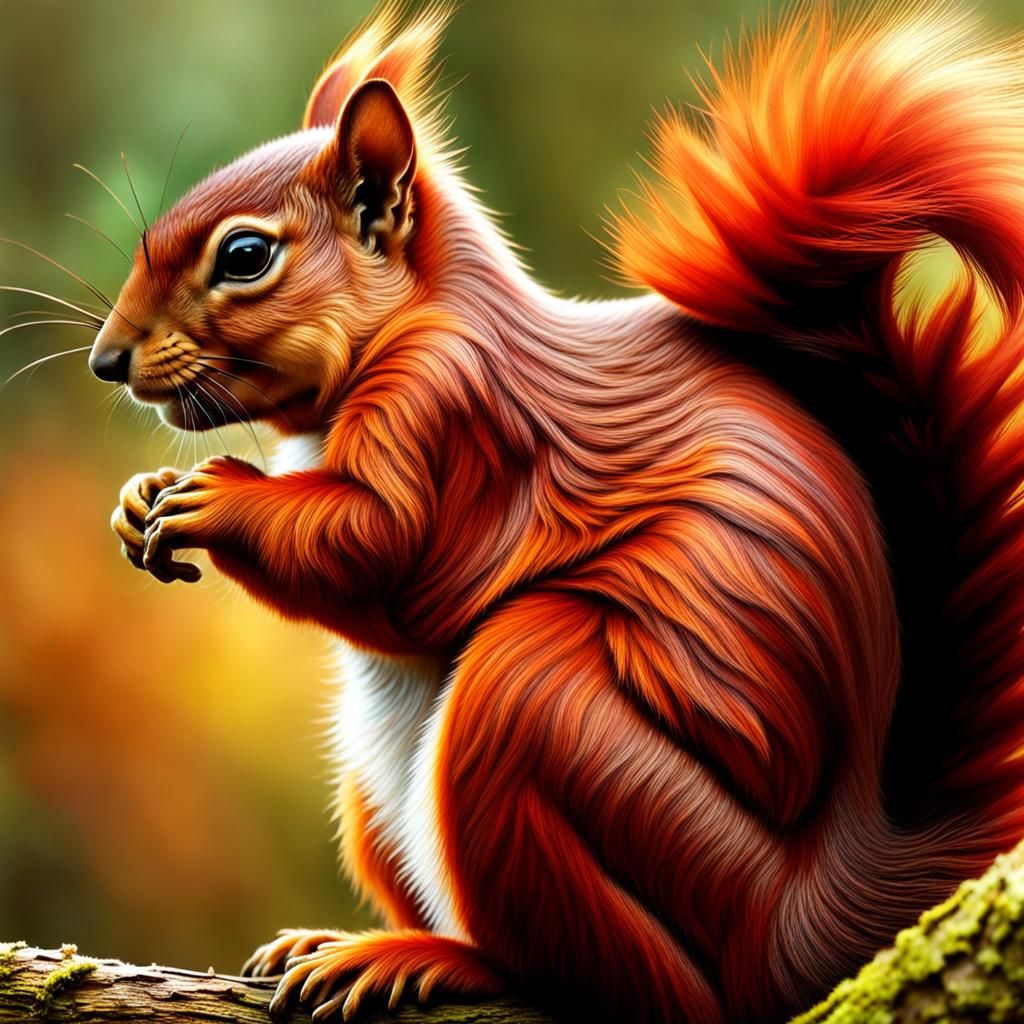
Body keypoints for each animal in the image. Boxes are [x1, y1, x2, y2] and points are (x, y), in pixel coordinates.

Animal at [87, 3, 1024, 1022]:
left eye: (246, 257)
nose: (106, 361)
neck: (418, 318)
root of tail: (816, 916)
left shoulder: (458, 415)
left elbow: (389, 558)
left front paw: (218, 498)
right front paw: (137, 500)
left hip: (545, 718)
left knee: (634, 987)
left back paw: (432, 960)